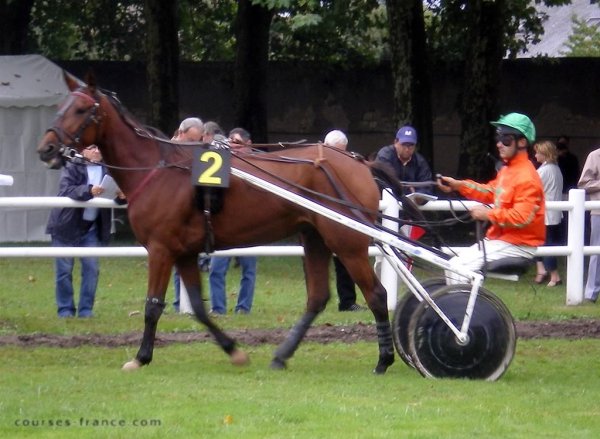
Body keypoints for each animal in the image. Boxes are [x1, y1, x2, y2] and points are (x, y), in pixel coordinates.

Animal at [36, 75, 404, 374]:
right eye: (61, 106)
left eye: (81, 109)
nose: (46, 148)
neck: (157, 168)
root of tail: (359, 162)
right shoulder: (183, 253)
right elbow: (199, 308)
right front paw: (233, 350)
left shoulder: (160, 249)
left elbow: (153, 305)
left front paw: (141, 357)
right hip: (313, 237)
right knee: (317, 298)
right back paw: (282, 355)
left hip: (347, 242)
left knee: (376, 294)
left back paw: (384, 359)